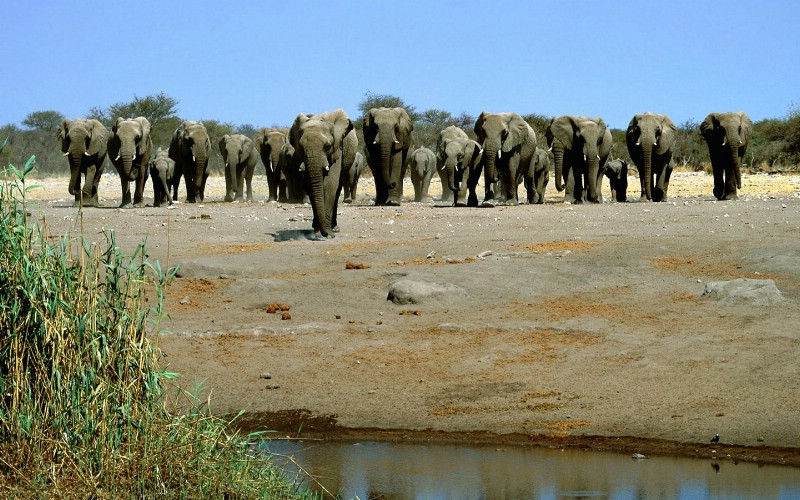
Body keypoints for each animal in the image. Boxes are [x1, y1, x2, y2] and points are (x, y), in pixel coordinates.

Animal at [290, 108, 356, 240]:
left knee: (337, 189)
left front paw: (328, 234)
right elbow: (309, 186)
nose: (325, 234)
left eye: (327, 146)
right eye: (301, 147)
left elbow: (330, 184)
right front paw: (317, 232)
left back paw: (334, 228)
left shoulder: (337, 147)